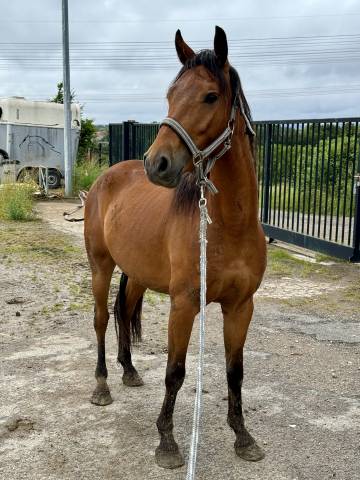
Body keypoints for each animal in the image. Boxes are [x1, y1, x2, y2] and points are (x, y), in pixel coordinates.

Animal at [83, 26, 266, 468]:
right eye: (170, 94)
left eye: (211, 96)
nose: (157, 164)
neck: (229, 226)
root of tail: (105, 178)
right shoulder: (184, 304)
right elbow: (176, 371)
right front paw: (166, 442)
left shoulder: (241, 306)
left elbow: (235, 371)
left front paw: (243, 437)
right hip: (100, 267)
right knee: (101, 319)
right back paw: (102, 386)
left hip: (137, 275)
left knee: (123, 312)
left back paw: (129, 371)